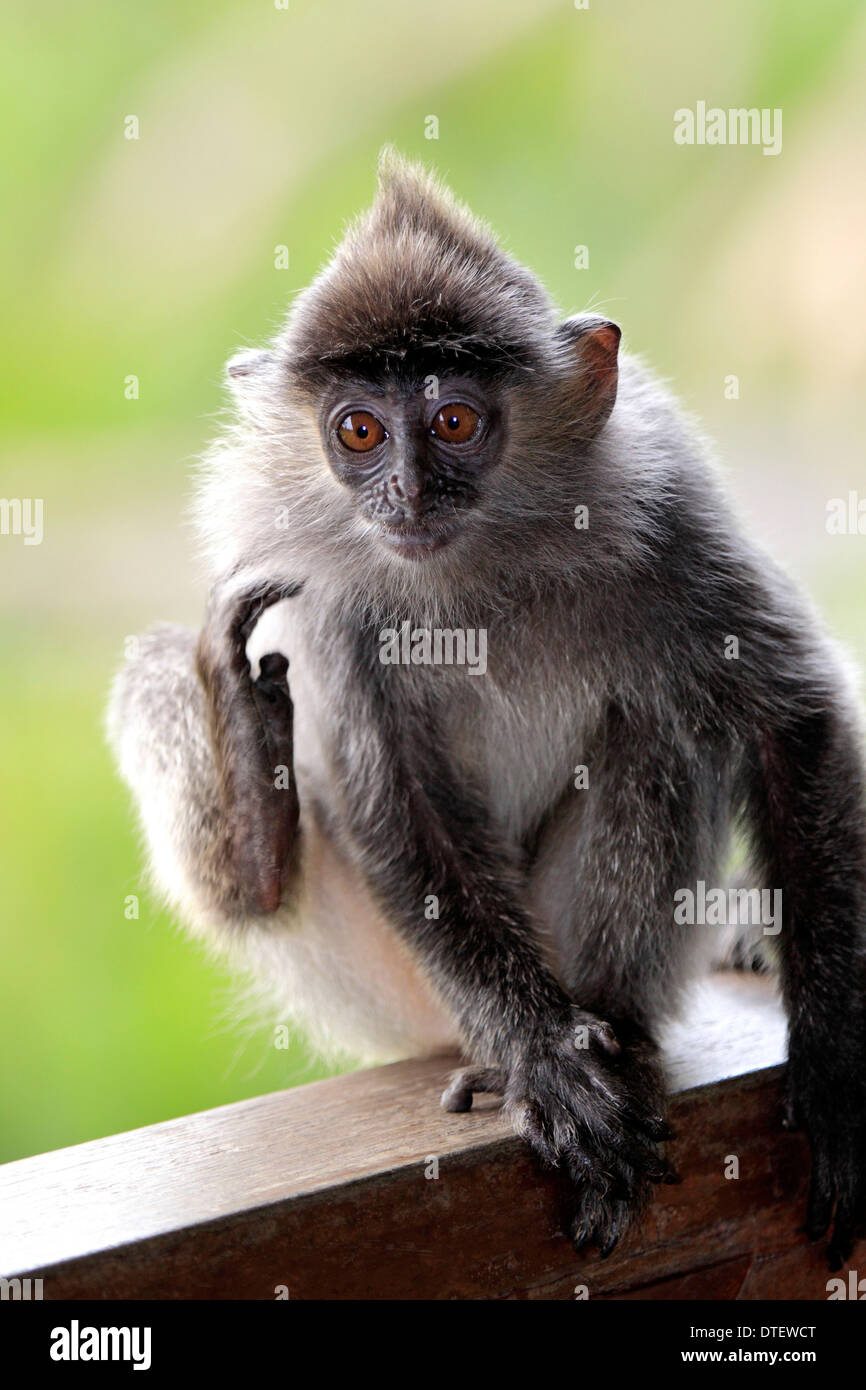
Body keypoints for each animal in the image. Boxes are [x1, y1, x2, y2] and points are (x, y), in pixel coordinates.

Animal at [109, 152, 866, 1273]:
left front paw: (831, 1070)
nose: (408, 495)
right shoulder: (328, 610)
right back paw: (253, 815)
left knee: (649, 730)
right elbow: (400, 810)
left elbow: (792, 723)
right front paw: (545, 1065)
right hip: (386, 976)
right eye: (360, 430)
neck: (473, 580)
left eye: (455, 421)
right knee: (173, 696)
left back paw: (619, 1030)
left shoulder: (671, 512)